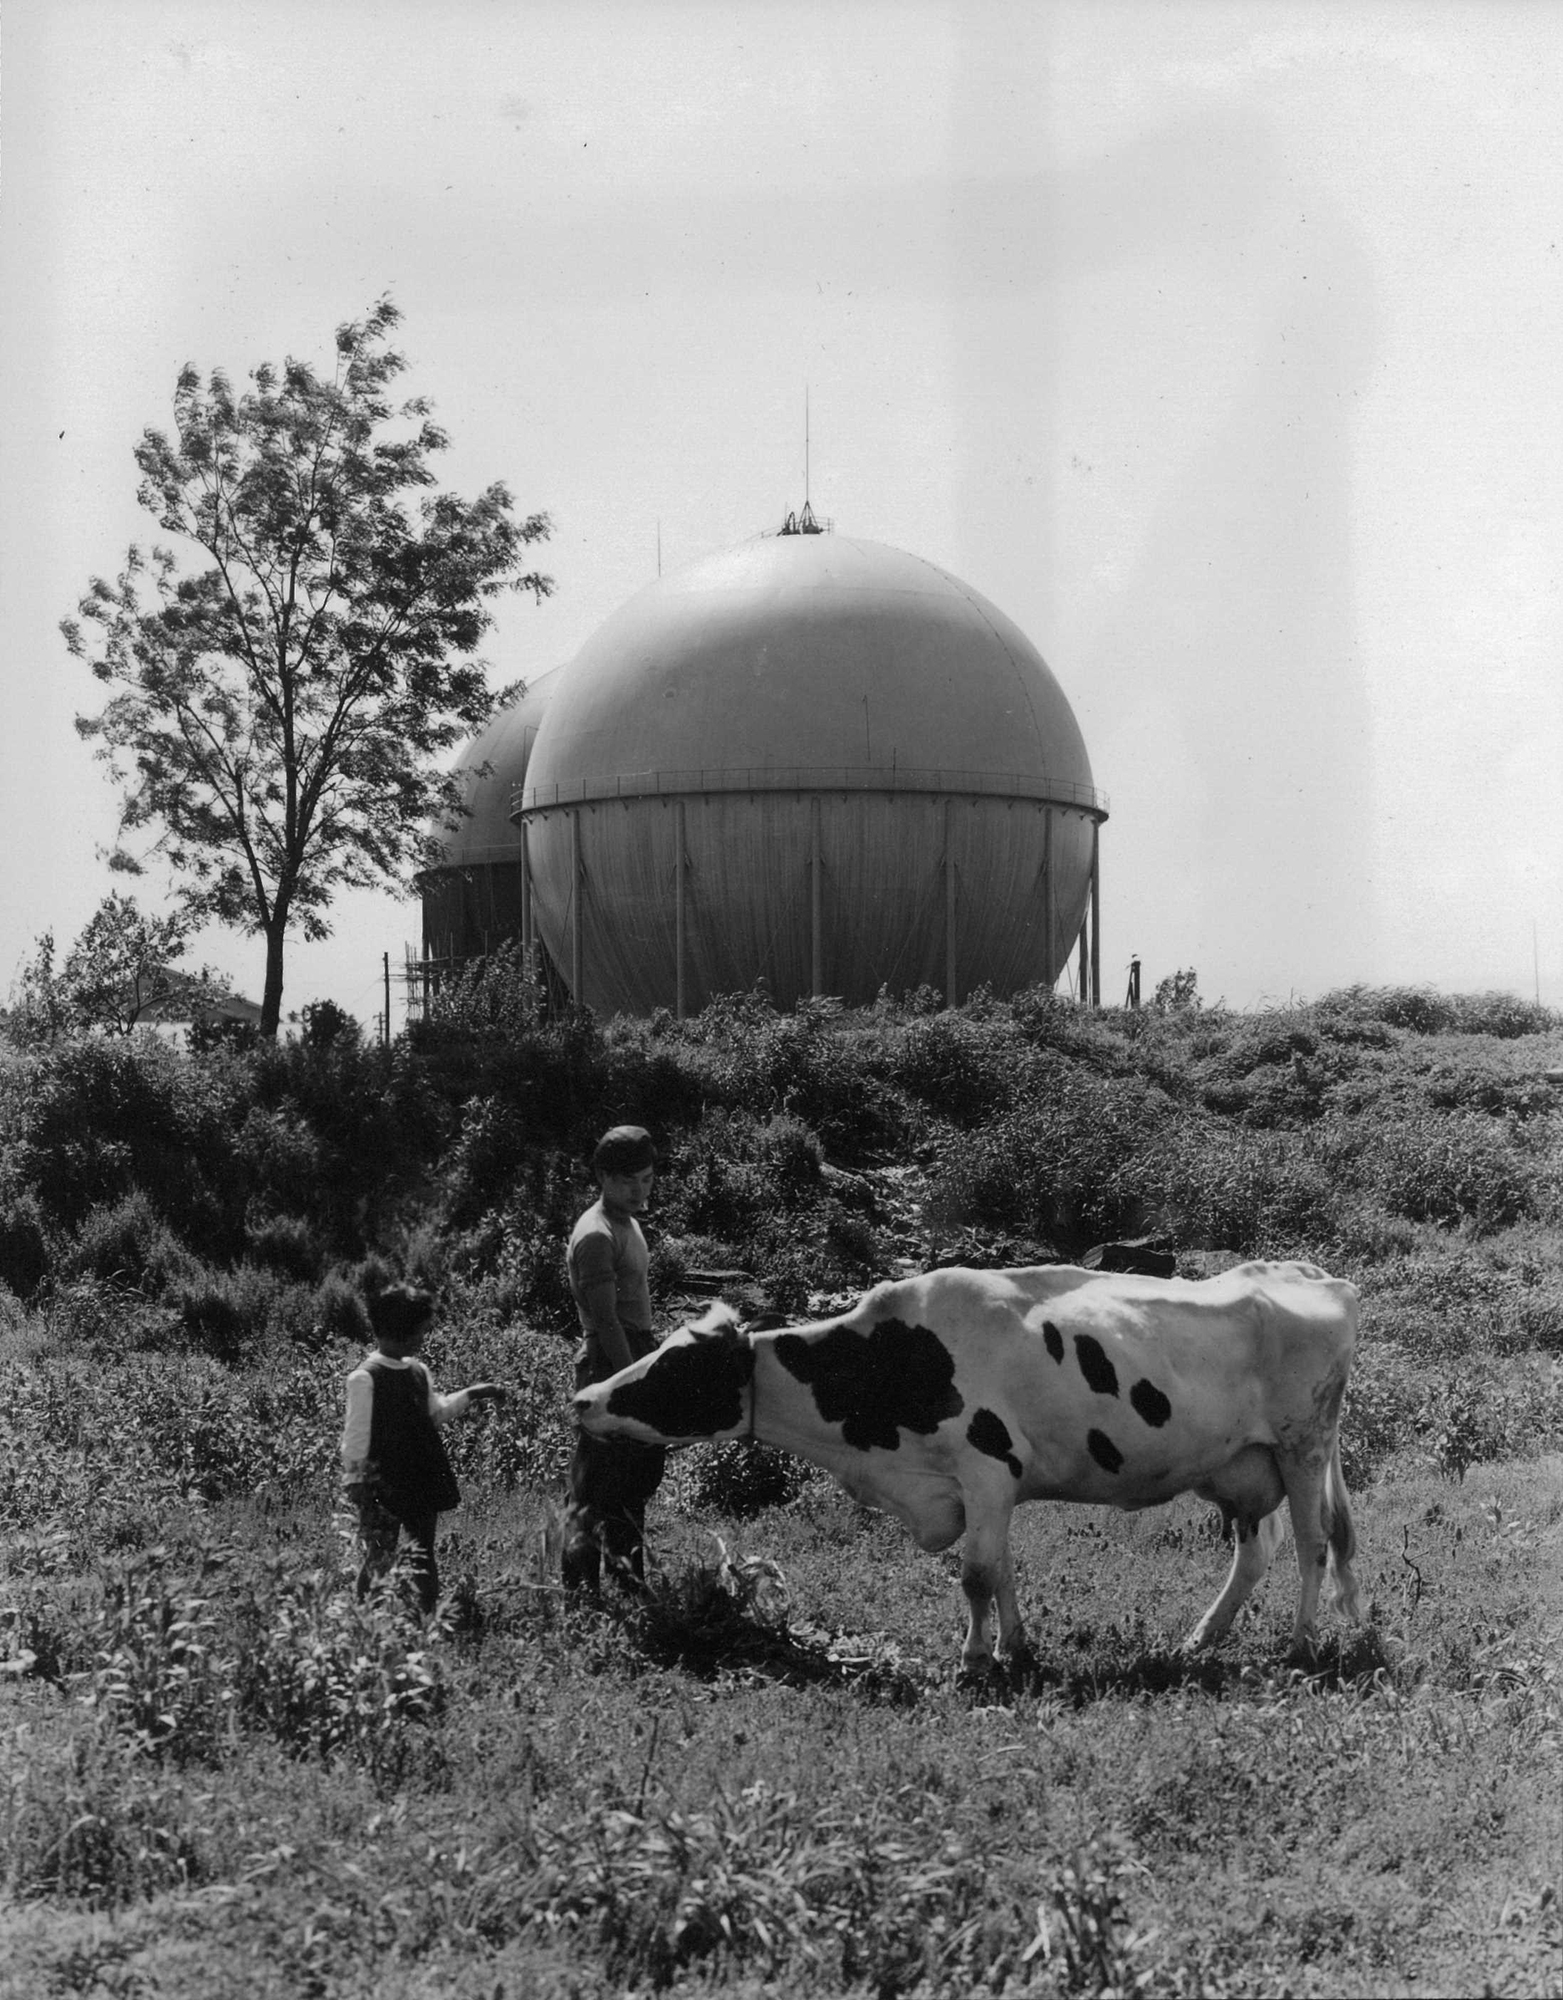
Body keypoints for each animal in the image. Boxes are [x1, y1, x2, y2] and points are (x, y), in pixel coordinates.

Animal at [571, 1264, 1359, 1672]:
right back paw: (1201, 1639)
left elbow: (976, 1575)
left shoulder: (985, 1470)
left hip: (1303, 1447)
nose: (582, 1398)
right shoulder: (986, 1489)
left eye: (675, 1367)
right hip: (1240, 1468)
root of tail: (1309, 1272)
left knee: (1314, 1545)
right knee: (1260, 1551)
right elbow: (1000, 1570)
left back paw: (1299, 1644)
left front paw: (975, 1659)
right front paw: (1013, 1648)